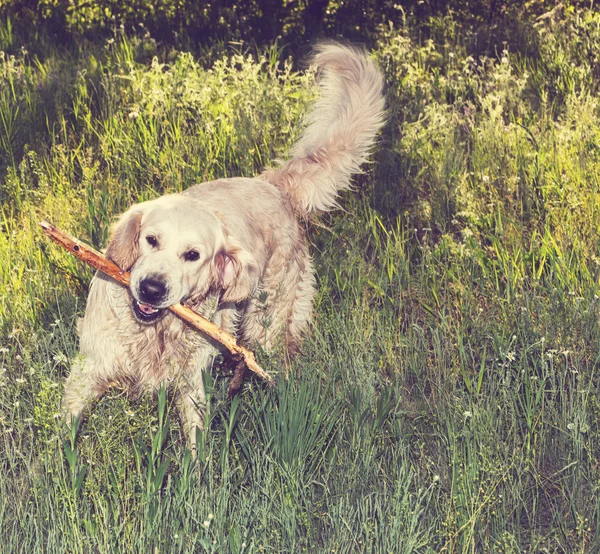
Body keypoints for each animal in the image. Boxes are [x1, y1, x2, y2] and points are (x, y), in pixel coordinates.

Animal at [63, 42, 386, 448]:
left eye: (193, 256)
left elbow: (195, 443)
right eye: (151, 240)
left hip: (267, 320)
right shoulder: (89, 368)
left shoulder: (190, 385)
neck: (155, 333)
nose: (151, 288)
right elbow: (65, 431)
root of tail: (273, 184)